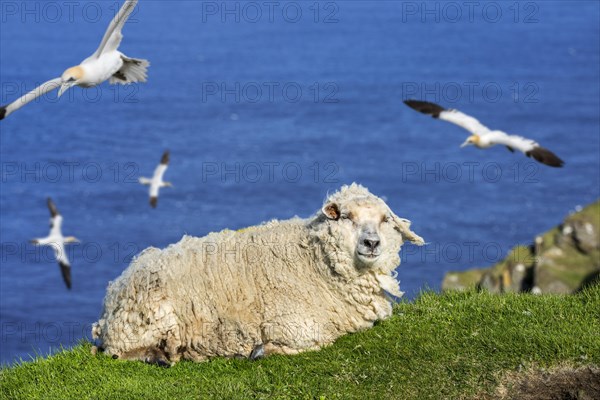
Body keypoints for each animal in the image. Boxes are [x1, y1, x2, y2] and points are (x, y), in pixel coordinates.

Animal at [91, 184, 424, 366]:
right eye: (346, 217)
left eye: (384, 220)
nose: (372, 243)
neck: (314, 259)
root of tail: (114, 289)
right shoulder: (294, 323)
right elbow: (316, 340)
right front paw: (261, 351)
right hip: (147, 318)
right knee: (115, 353)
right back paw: (157, 355)